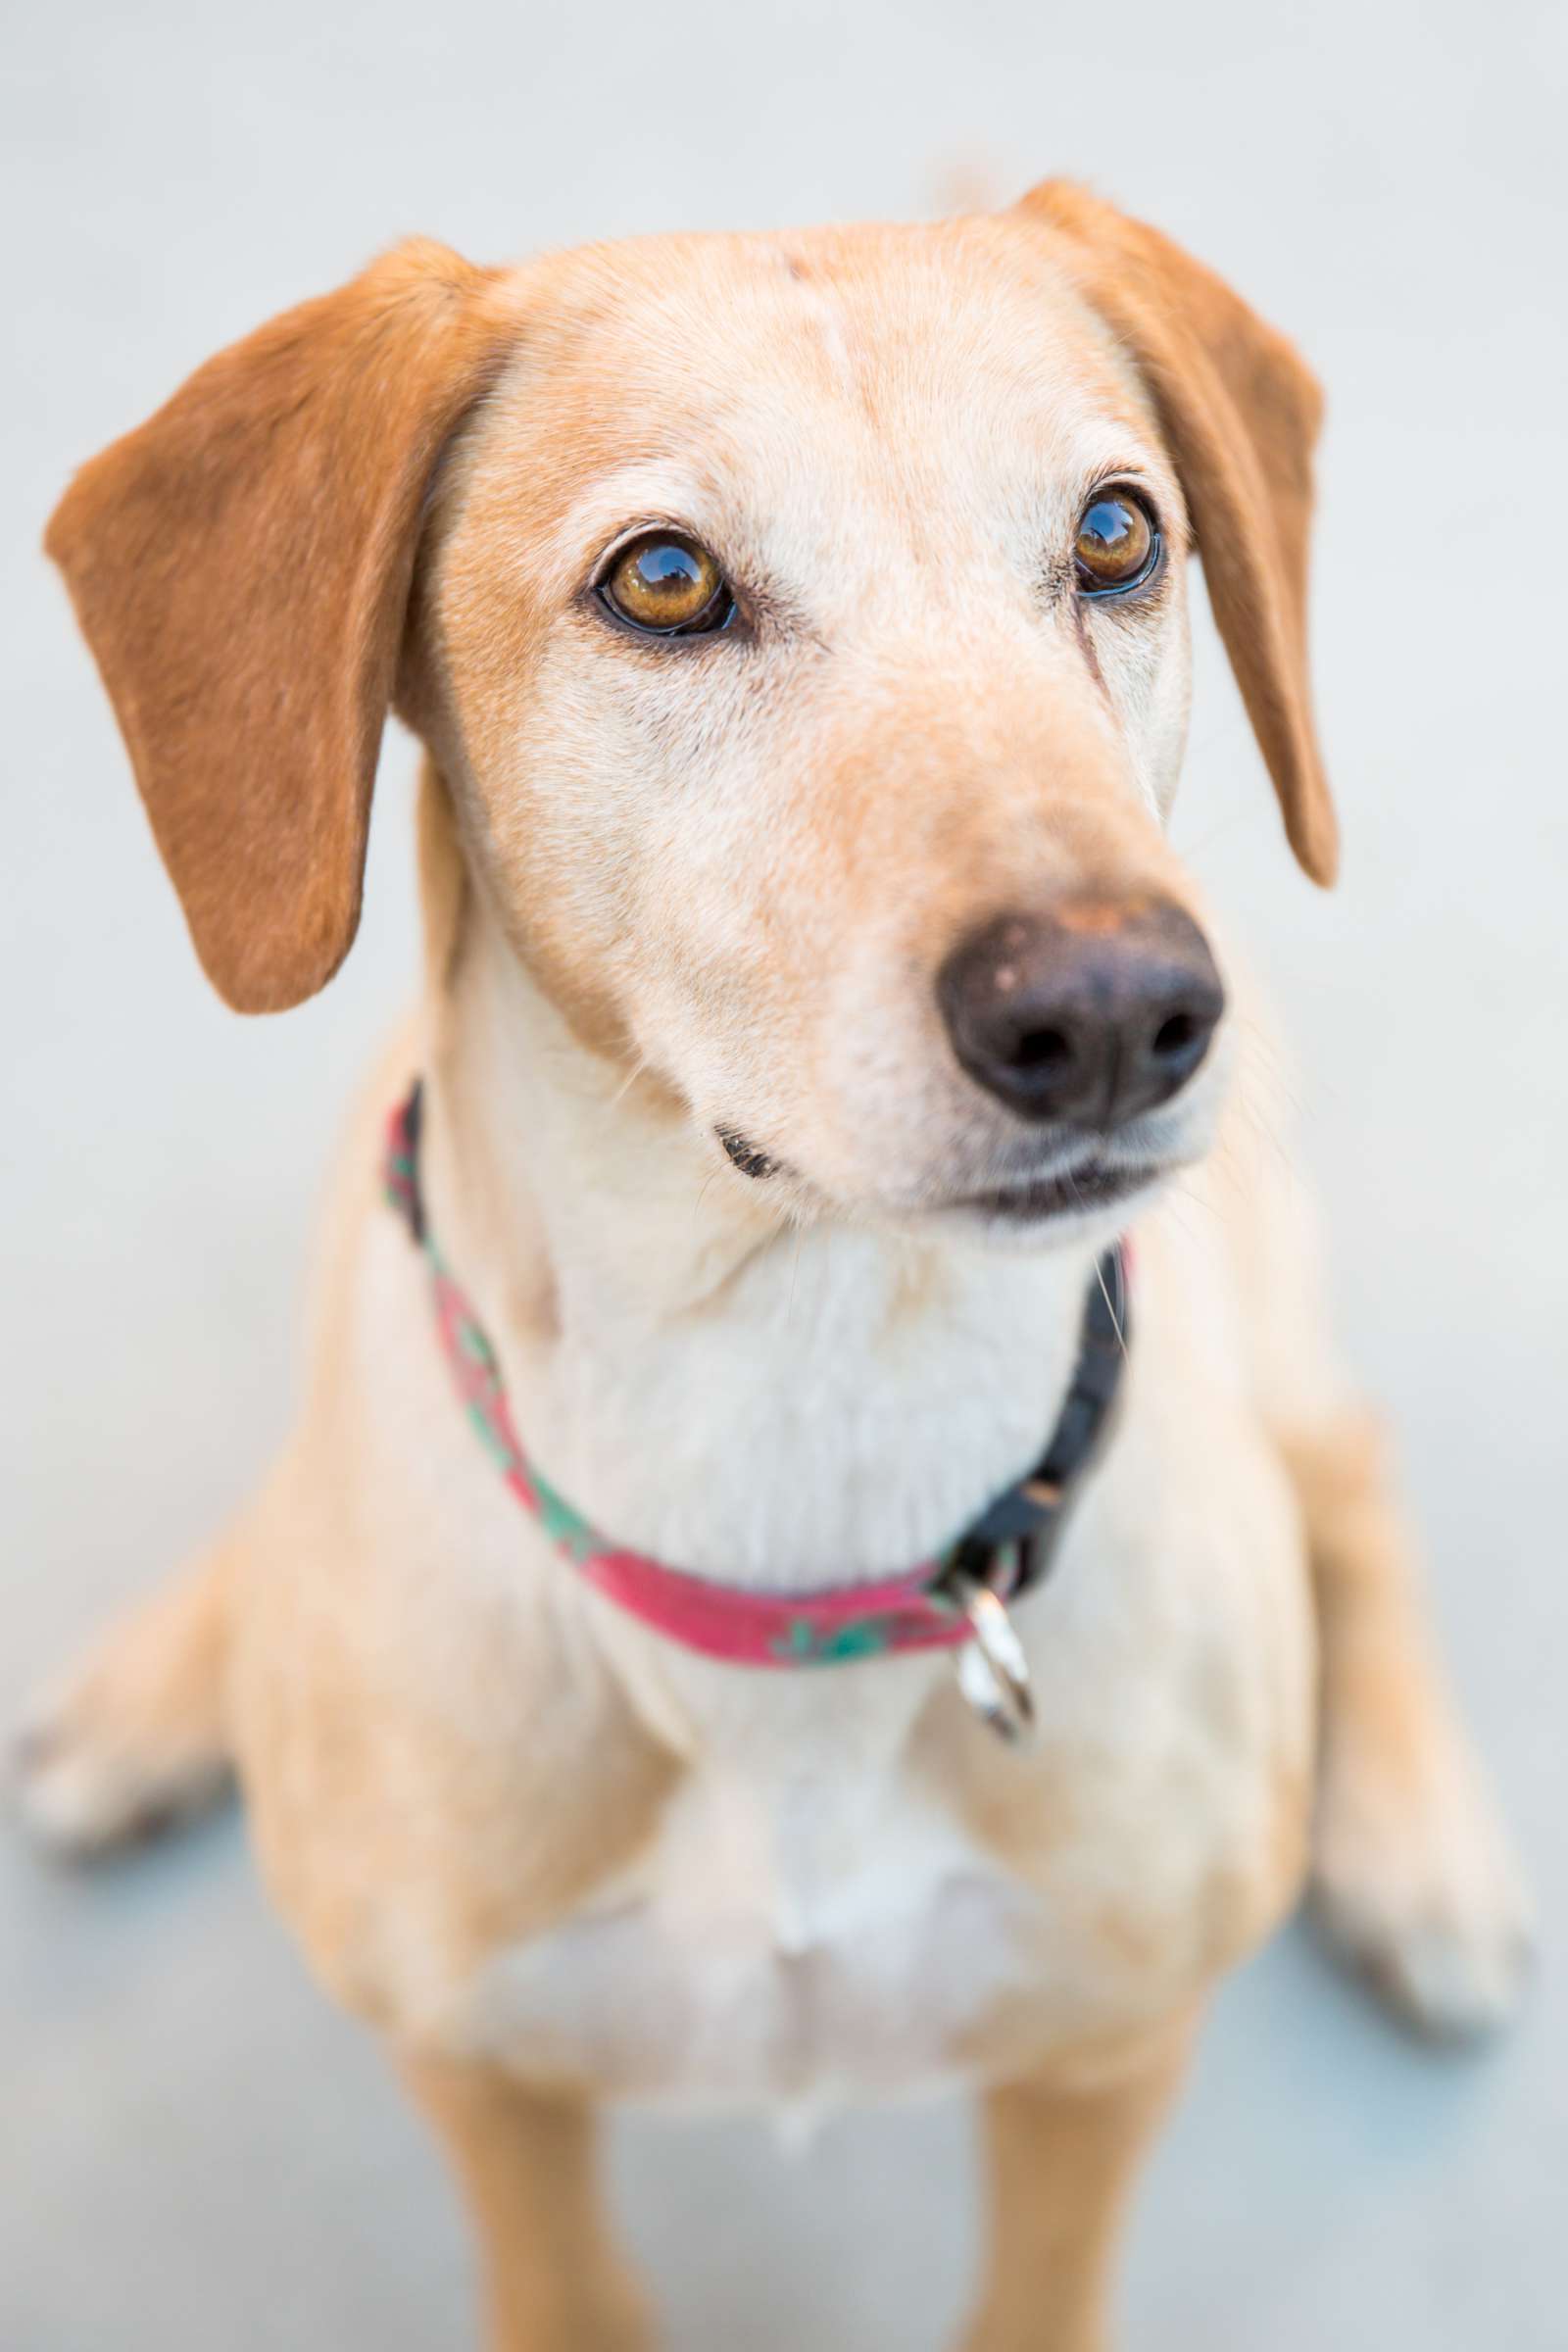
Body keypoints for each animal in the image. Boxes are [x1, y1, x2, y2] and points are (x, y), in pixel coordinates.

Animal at [15, 183, 1533, 2352]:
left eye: (1114, 536)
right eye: (664, 579)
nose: (1113, 1012)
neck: (805, 1418)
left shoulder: (1100, 2065)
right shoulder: (486, 2085)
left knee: (1346, 1465)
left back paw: (1419, 1853)